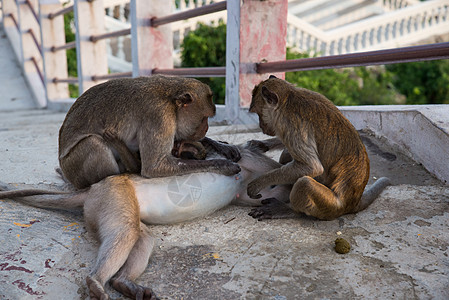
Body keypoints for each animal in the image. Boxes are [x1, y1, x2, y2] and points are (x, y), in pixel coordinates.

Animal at [0, 142, 288, 300]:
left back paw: (122, 282)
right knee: (126, 231)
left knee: (141, 236)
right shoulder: (249, 164)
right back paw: (96, 281)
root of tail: (93, 189)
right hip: (115, 195)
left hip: (108, 203)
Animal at [59, 74, 243, 190]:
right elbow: (154, 167)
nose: (206, 128)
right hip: (73, 165)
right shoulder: (160, 116)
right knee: (94, 143)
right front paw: (223, 164)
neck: (171, 99)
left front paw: (223, 146)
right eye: (205, 118)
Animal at [245, 75, 388, 220]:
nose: (261, 125)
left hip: (329, 206)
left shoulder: (291, 124)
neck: (289, 97)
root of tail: (353, 202)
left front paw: (259, 183)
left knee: (304, 183)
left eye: (259, 114)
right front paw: (262, 144)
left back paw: (289, 210)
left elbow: (312, 167)